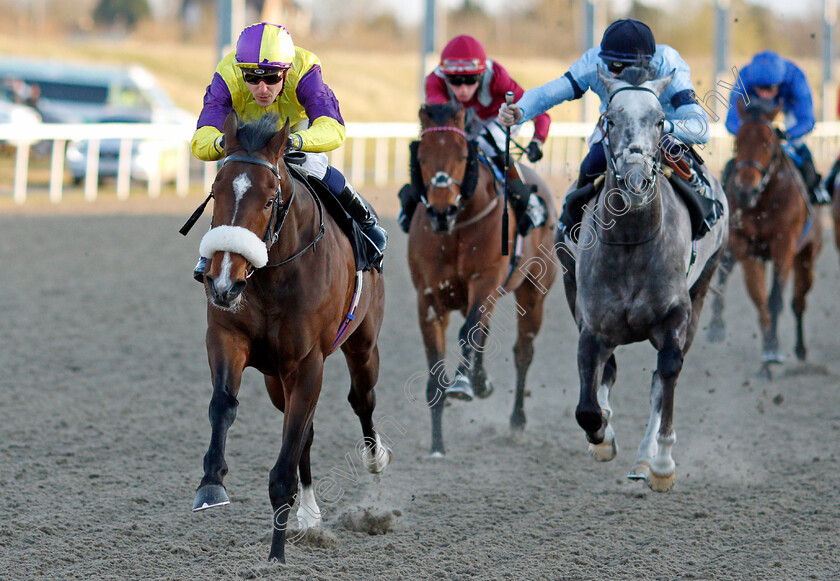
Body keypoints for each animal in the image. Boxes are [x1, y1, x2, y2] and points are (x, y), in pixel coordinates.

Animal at [190, 111, 390, 560]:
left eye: (268, 200)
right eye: (214, 193)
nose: (222, 281)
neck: (271, 275)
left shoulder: (307, 361)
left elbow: (286, 460)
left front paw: (276, 557)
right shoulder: (226, 337)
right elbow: (223, 404)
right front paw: (211, 484)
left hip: (362, 343)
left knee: (362, 400)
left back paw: (375, 463)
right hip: (274, 378)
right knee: (305, 433)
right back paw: (309, 516)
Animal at [406, 102, 556, 456]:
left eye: (463, 155)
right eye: (422, 157)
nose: (441, 211)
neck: (457, 228)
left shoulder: (485, 281)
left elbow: (468, 333)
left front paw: (461, 384)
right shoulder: (429, 298)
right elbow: (435, 371)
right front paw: (437, 444)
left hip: (534, 291)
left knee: (522, 352)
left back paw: (516, 419)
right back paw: (481, 381)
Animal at [556, 68, 728, 492]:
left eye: (660, 121)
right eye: (610, 120)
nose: (635, 179)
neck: (631, 243)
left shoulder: (676, 316)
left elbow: (666, 373)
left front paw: (662, 462)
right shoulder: (591, 325)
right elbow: (588, 405)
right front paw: (602, 438)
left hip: (702, 292)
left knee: (661, 381)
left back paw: (646, 459)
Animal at [704, 101, 824, 378]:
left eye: (768, 144)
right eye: (738, 143)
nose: (745, 190)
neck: (765, 202)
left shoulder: (784, 247)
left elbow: (776, 299)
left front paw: (772, 351)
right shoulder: (747, 248)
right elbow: (760, 300)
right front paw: (768, 356)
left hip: (807, 257)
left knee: (798, 302)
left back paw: (801, 349)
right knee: (723, 274)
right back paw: (716, 326)